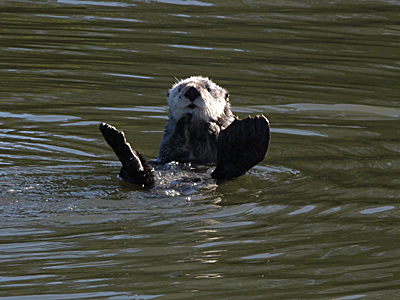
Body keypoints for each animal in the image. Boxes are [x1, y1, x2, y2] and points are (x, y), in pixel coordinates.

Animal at [98, 76, 270, 189]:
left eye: (209, 89)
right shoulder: (168, 146)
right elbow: (172, 145)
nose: (192, 91)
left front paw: (212, 127)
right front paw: (184, 121)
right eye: (180, 89)